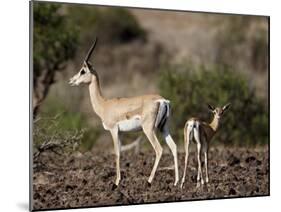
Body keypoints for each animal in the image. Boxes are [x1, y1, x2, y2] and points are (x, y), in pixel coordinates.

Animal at [69, 37, 178, 186]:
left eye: (83, 71)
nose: (71, 80)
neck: (104, 104)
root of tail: (162, 100)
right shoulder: (121, 132)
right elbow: (121, 152)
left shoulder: (114, 130)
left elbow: (117, 153)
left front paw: (117, 182)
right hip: (164, 128)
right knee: (174, 147)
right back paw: (178, 182)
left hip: (149, 130)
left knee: (159, 150)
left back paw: (149, 180)